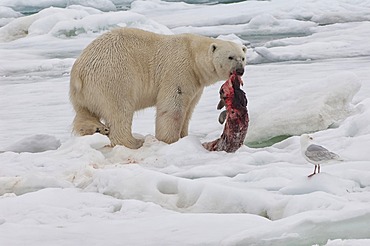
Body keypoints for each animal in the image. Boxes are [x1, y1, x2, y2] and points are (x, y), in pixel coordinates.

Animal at [71, 27, 247, 149]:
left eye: (243, 57)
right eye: (230, 57)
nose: (240, 70)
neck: (193, 55)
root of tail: (80, 70)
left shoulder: (196, 83)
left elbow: (189, 109)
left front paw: (184, 136)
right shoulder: (179, 70)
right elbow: (173, 107)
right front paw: (170, 140)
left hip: (84, 92)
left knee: (84, 113)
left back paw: (97, 129)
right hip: (114, 77)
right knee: (120, 110)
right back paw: (134, 142)